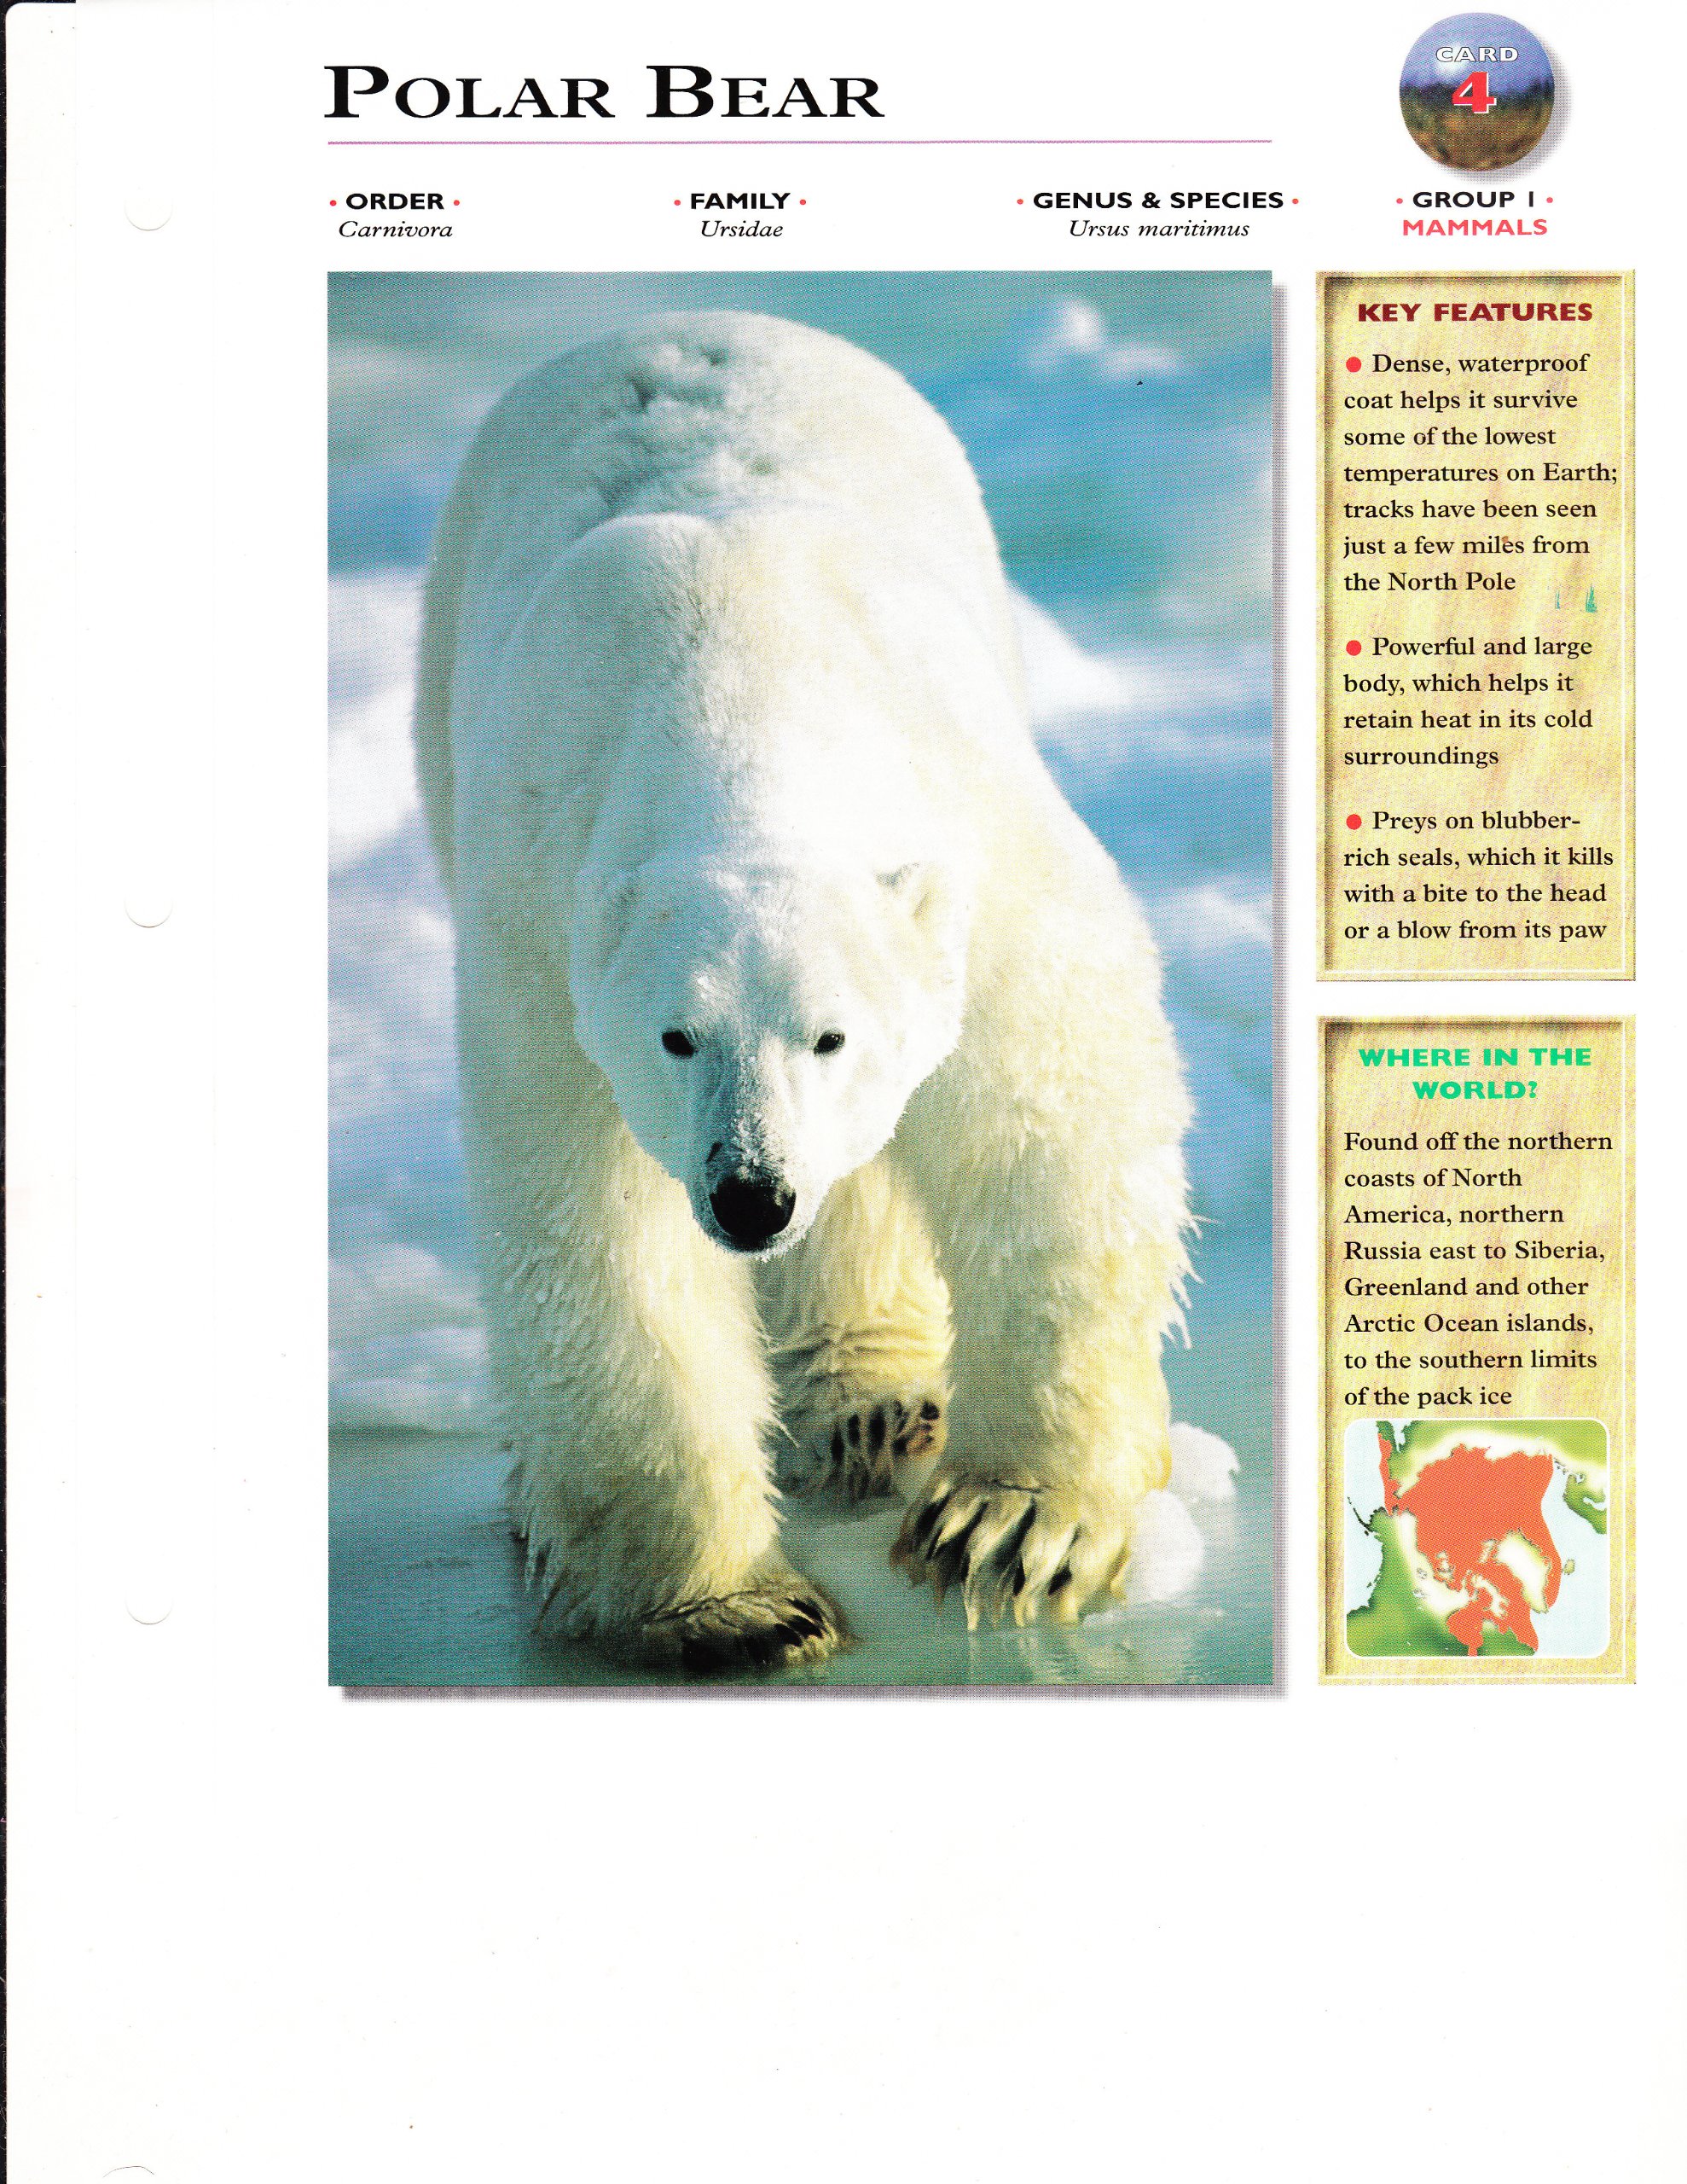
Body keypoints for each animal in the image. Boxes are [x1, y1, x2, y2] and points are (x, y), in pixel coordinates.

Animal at [414, 310, 1191, 1673]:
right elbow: (597, 1229)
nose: (750, 1194)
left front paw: (1012, 1526)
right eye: (675, 1037)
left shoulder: (972, 852)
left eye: (832, 1036)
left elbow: (1049, 1116)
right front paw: (730, 1609)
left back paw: (883, 1406)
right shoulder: (539, 928)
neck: (740, 687)